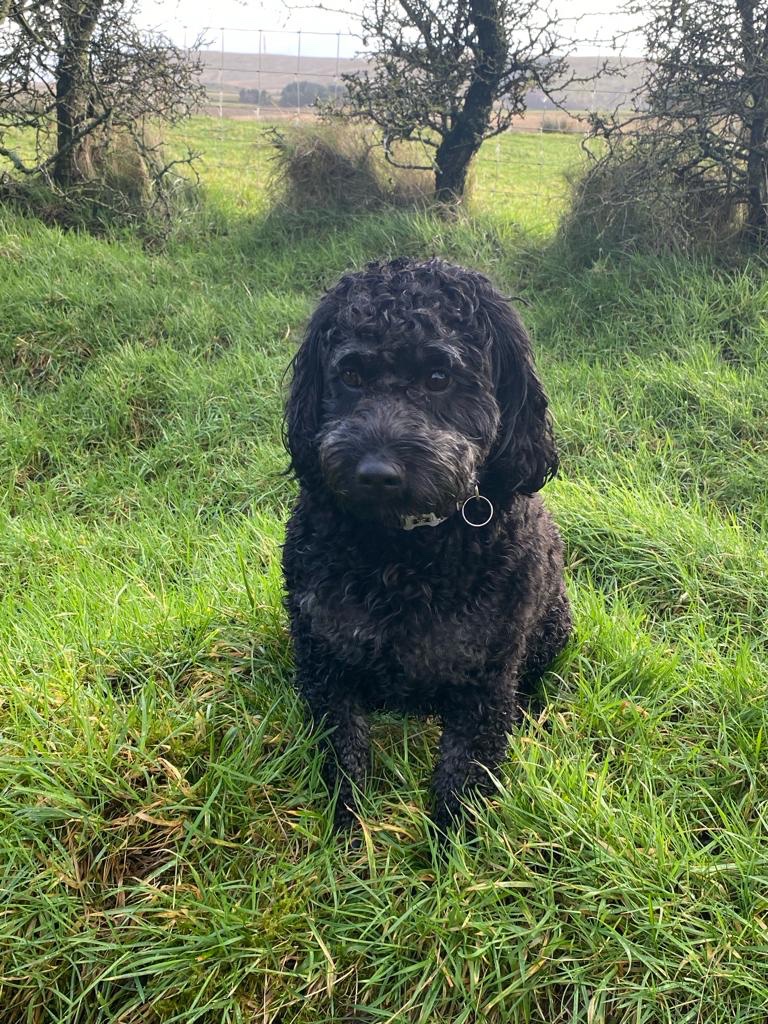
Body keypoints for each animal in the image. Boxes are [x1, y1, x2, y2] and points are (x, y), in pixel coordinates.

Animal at [282, 256, 573, 831]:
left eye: (439, 378)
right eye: (350, 375)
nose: (376, 474)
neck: (404, 556)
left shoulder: (484, 684)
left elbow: (462, 787)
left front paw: (448, 849)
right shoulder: (325, 658)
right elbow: (345, 759)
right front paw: (350, 838)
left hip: (552, 629)